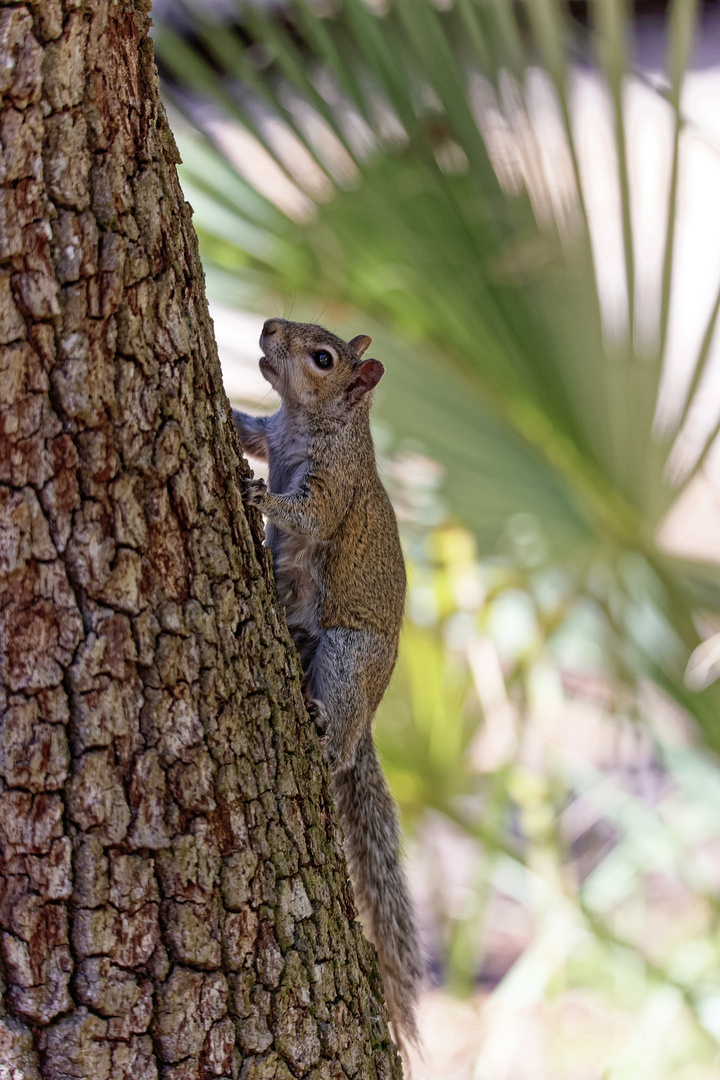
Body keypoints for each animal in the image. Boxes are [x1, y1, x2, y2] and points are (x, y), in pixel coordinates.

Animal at [234, 315, 423, 1041]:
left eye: (323, 358)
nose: (266, 326)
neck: (312, 423)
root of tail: (367, 714)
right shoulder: (270, 432)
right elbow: (248, 431)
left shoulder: (332, 485)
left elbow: (310, 515)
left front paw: (261, 496)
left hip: (347, 658)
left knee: (340, 748)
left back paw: (323, 731)